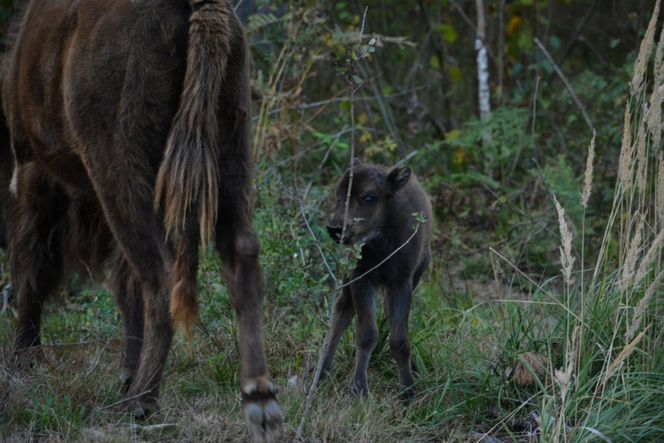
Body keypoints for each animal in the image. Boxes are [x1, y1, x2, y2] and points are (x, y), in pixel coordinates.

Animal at [0, 1, 282, 442]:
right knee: (240, 259)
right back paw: (260, 401)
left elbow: (33, 270)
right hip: (231, 151)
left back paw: (139, 403)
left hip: (121, 168)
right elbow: (121, 283)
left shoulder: (34, 171)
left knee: (159, 274)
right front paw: (124, 372)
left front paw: (23, 361)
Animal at [324, 160, 434, 398]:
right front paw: (359, 388)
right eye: (339, 194)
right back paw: (321, 375)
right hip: (348, 284)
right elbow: (367, 335)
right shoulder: (361, 279)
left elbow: (399, 339)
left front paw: (408, 391)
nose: (336, 228)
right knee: (340, 317)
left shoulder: (401, 283)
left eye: (368, 197)